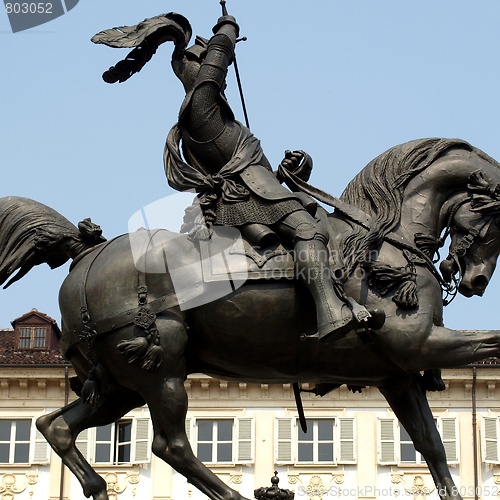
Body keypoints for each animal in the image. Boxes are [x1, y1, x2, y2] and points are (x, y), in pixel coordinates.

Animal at [0, 137, 500, 500]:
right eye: (495, 214)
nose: (476, 281)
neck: (383, 242)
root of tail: (87, 252)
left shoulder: (398, 375)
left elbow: (432, 447)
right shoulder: (417, 344)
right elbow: (491, 341)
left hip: (118, 383)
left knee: (56, 426)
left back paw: (98, 488)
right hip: (160, 364)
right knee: (169, 444)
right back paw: (233, 498)